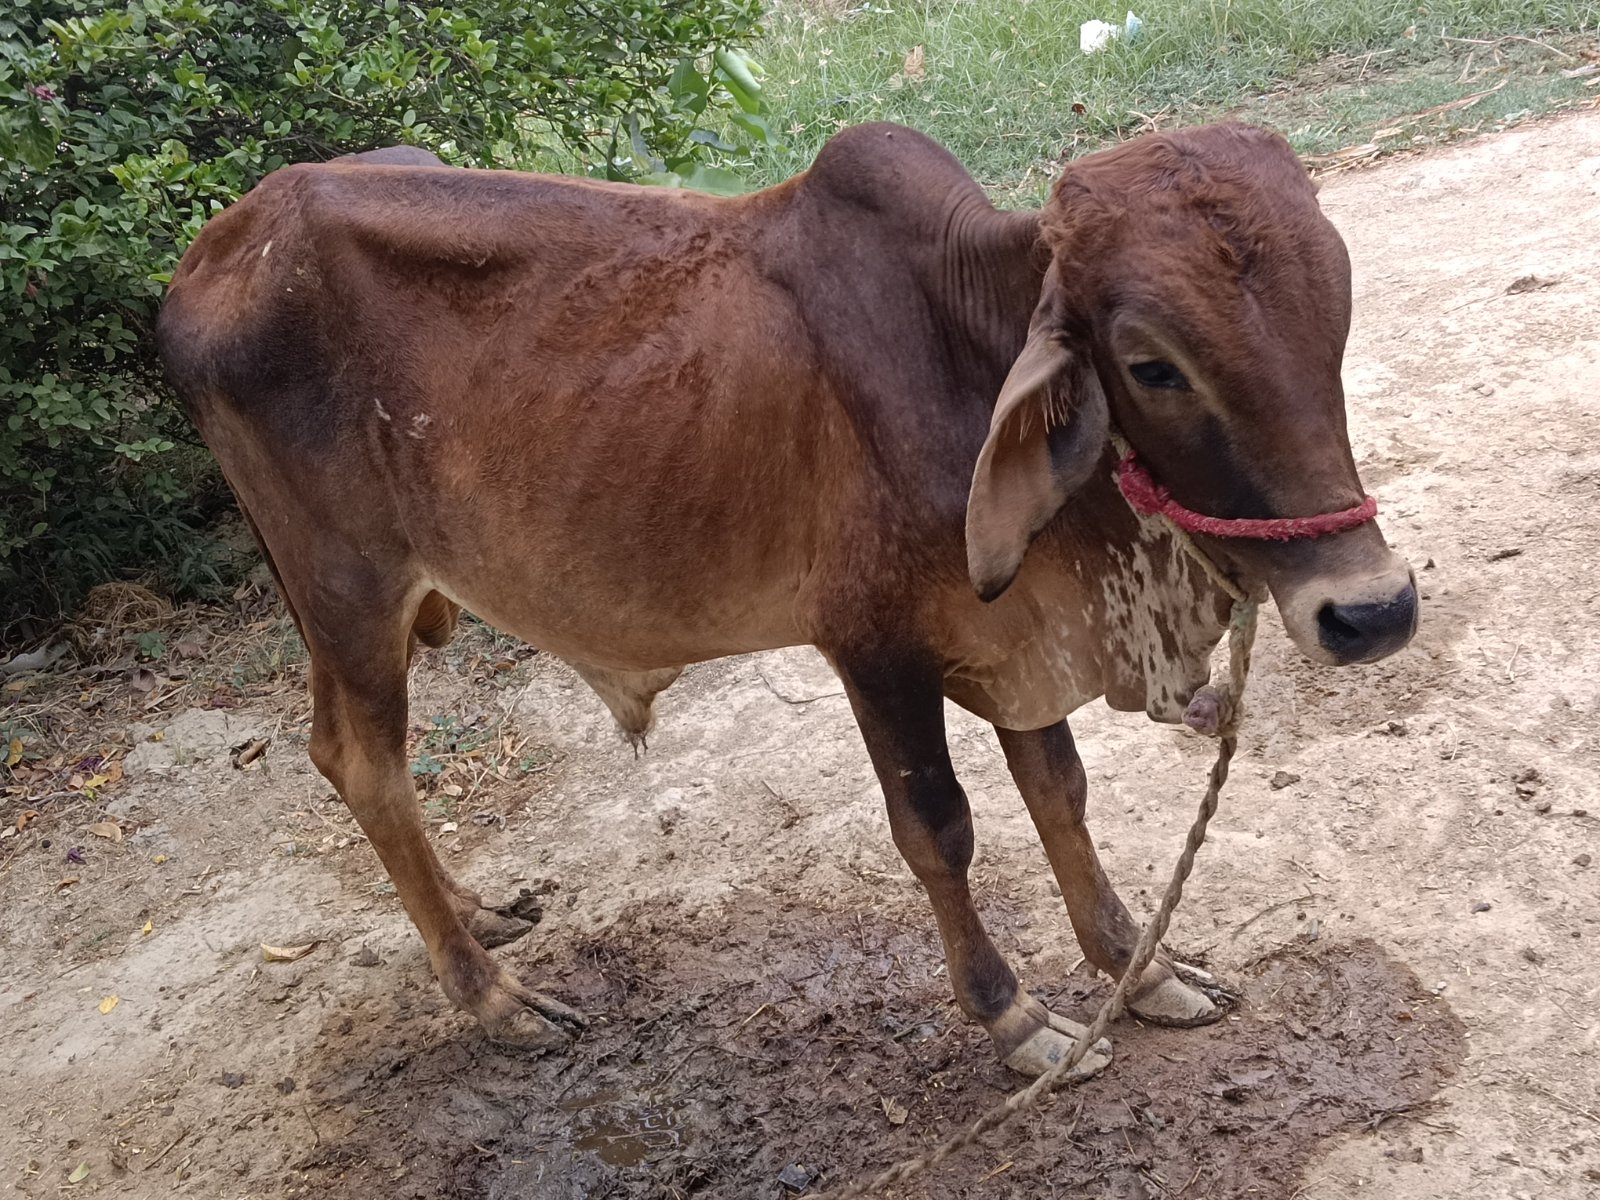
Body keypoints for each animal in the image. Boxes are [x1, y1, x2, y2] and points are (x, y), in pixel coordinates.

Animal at [156, 121, 1417, 1078]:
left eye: (1338, 310)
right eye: (1151, 363)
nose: (1371, 610)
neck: (955, 348)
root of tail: (222, 243)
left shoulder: (1013, 634)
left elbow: (1059, 793)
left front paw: (1142, 970)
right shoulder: (872, 649)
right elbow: (939, 832)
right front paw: (1015, 1019)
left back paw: (475, 913)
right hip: (348, 588)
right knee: (361, 762)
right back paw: (493, 996)